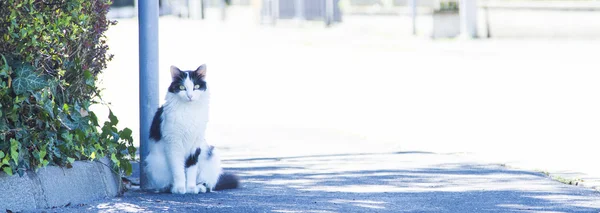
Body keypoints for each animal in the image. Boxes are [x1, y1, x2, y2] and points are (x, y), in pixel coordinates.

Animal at [144, 64, 238, 194]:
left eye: (196, 87)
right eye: (182, 87)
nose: (190, 96)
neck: (189, 111)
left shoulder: (195, 145)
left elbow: (191, 169)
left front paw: (191, 188)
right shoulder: (174, 144)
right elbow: (178, 170)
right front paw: (179, 188)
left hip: (212, 155)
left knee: (207, 184)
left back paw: (199, 188)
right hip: (153, 163)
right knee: (164, 184)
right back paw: (169, 187)